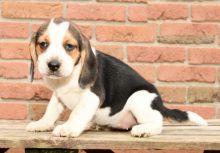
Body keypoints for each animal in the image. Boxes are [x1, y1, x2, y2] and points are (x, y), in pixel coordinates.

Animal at [26, 17, 208, 137]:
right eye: (43, 44)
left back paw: (143, 130)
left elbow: (77, 113)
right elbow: (51, 111)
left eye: (69, 46)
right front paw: (42, 124)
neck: (68, 77)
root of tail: (160, 104)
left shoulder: (92, 97)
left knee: (157, 121)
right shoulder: (58, 95)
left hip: (139, 97)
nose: (53, 65)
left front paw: (68, 128)